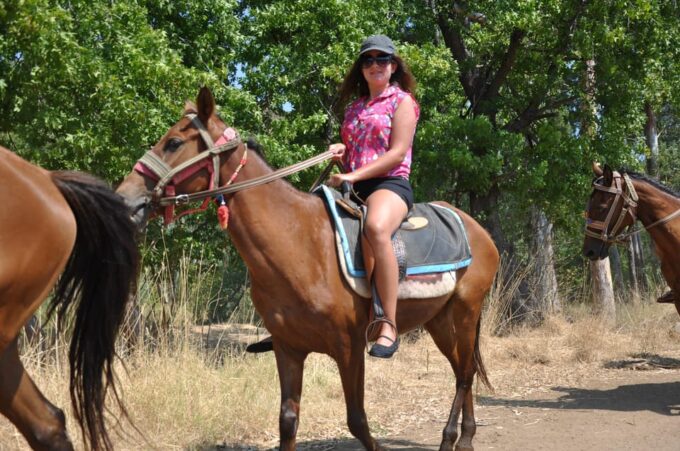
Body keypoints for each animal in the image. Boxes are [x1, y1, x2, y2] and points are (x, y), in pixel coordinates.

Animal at [117, 87, 499, 451]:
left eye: (174, 143)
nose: (125, 200)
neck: (298, 242)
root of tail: (477, 230)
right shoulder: (288, 349)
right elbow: (287, 421)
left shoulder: (349, 349)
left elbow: (357, 421)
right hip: (439, 319)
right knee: (461, 369)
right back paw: (463, 437)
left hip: (465, 311)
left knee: (465, 373)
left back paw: (454, 438)